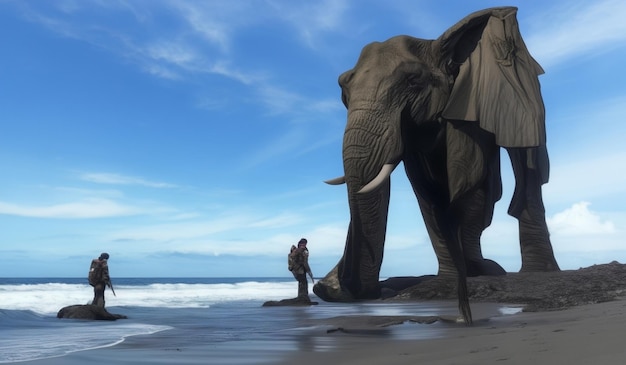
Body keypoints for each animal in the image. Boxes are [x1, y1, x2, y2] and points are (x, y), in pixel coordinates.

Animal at [314, 6, 560, 324]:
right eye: (343, 90)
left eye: (413, 81)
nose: (327, 286)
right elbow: (427, 195)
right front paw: (452, 277)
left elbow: (471, 184)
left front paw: (463, 276)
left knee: (526, 163)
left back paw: (529, 271)